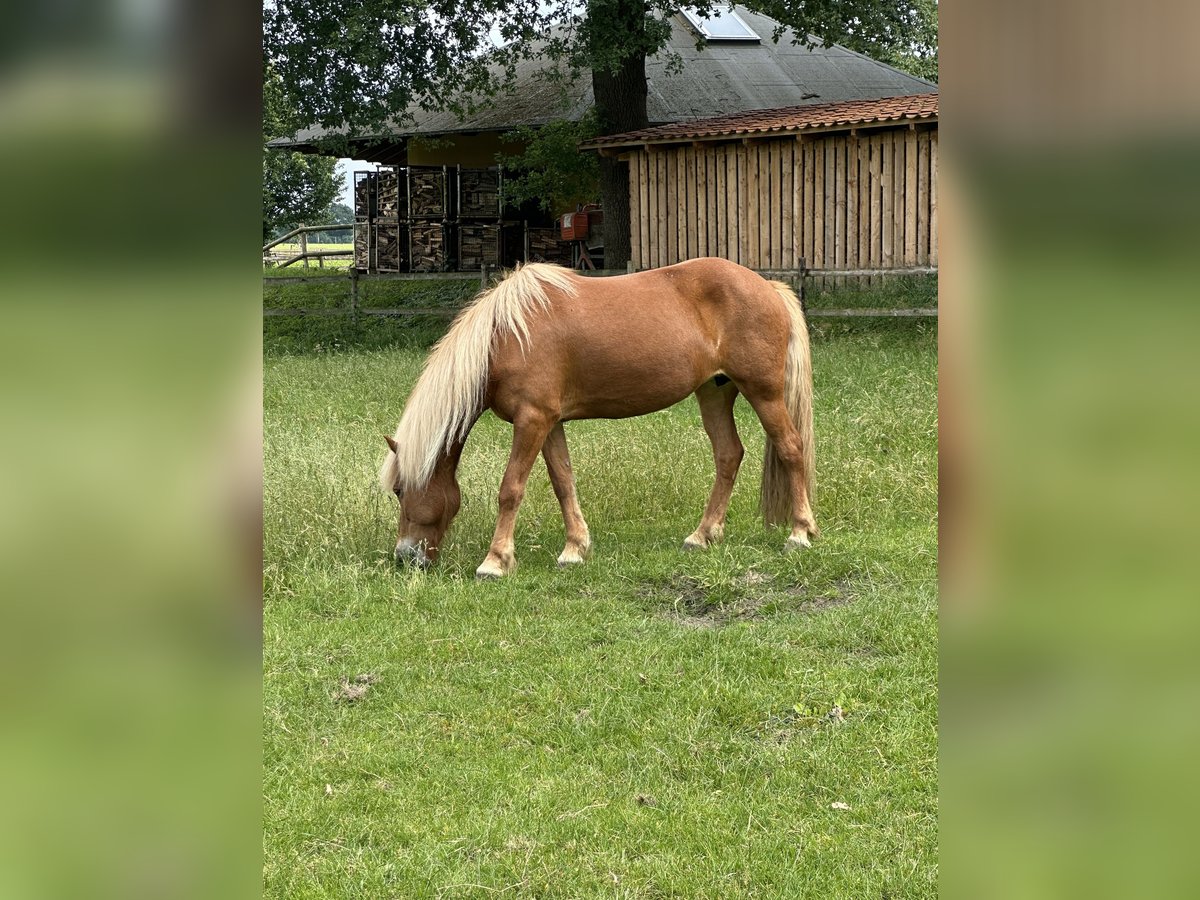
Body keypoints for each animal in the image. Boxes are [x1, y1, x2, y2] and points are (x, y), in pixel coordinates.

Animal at [381, 255, 816, 578]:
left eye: (399, 490)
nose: (406, 557)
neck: (506, 337)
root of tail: (769, 287)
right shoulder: (550, 423)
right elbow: (563, 482)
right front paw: (575, 548)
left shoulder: (532, 420)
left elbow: (511, 488)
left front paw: (495, 561)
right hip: (714, 391)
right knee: (728, 455)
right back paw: (703, 535)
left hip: (763, 392)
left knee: (791, 448)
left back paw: (799, 532)